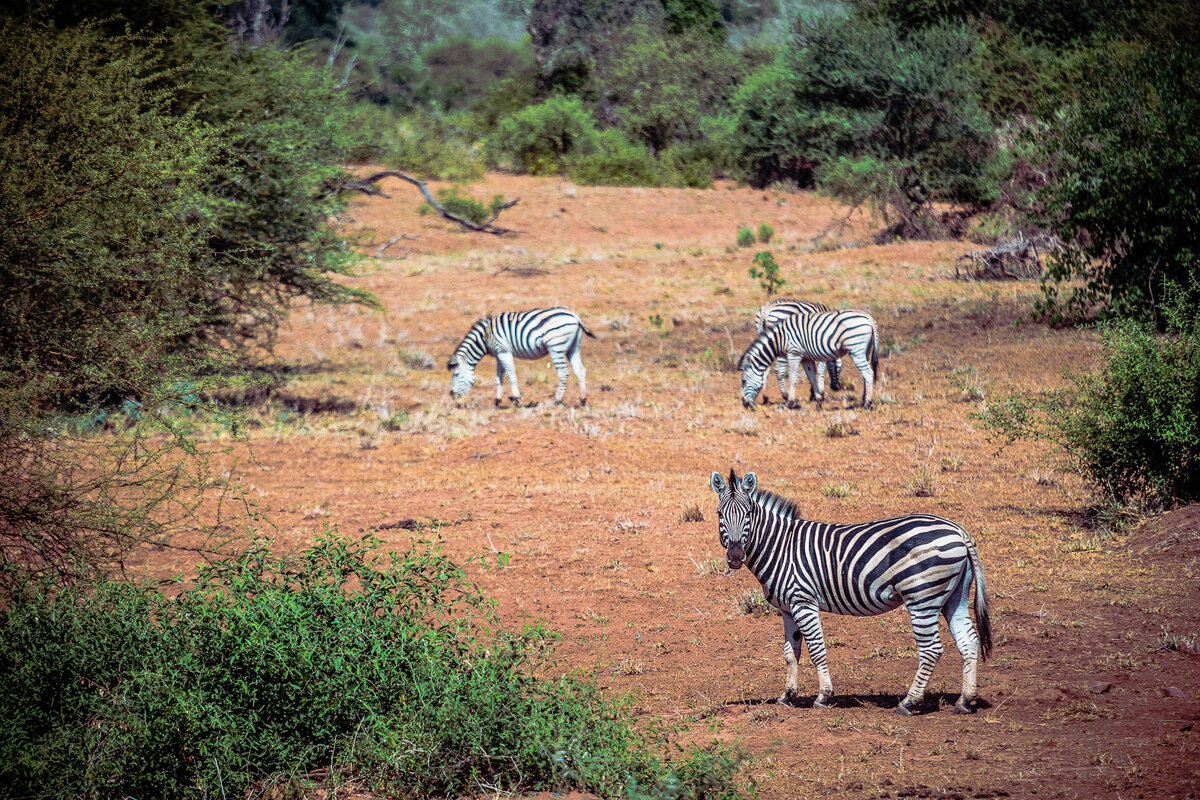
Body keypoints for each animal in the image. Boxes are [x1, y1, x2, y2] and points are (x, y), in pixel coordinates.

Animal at [446, 307, 595, 407]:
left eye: (456, 374)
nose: (452, 396)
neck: (484, 336)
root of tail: (575, 316)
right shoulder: (499, 354)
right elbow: (499, 377)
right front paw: (497, 401)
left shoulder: (504, 351)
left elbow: (511, 375)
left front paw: (517, 399)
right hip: (573, 347)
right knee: (580, 370)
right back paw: (583, 399)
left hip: (556, 347)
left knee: (563, 373)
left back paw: (557, 401)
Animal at [705, 465, 988, 714]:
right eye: (719, 514)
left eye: (748, 514)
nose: (735, 556)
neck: (780, 547)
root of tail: (958, 530)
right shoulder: (787, 608)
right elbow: (791, 653)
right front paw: (787, 696)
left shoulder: (804, 602)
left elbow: (817, 650)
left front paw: (823, 697)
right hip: (954, 596)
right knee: (969, 641)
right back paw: (964, 701)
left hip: (922, 596)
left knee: (931, 649)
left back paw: (908, 703)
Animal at [734, 304, 878, 410]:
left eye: (743, 381)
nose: (745, 404)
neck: (779, 338)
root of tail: (869, 318)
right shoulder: (806, 358)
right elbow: (812, 378)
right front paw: (819, 401)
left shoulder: (794, 354)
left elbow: (793, 378)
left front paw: (789, 402)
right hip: (865, 350)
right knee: (866, 374)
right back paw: (863, 400)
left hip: (856, 349)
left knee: (868, 373)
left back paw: (867, 403)